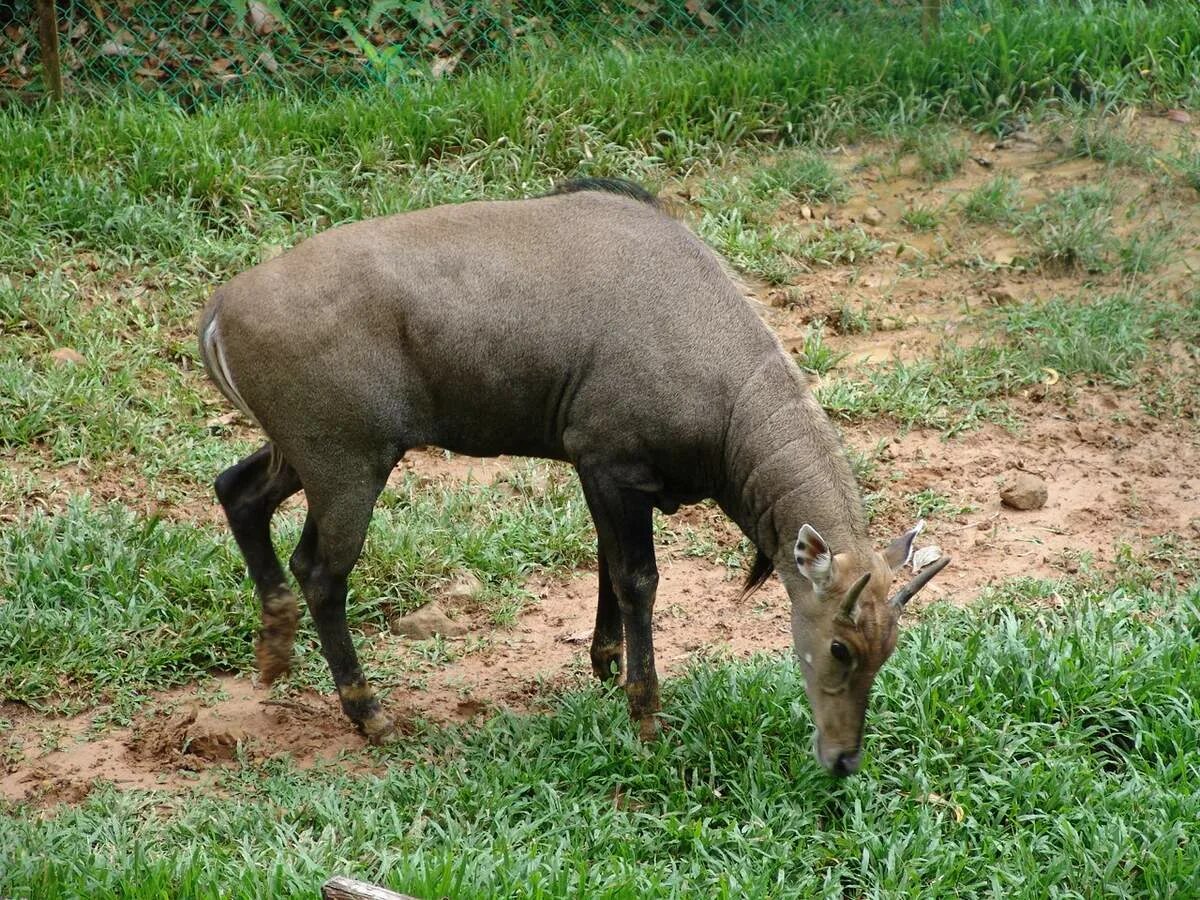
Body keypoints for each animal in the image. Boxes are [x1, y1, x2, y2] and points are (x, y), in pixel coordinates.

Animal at [199, 176, 945, 777]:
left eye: (889, 648)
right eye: (841, 647)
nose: (843, 760)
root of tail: (221, 311)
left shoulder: (608, 480)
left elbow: (607, 566)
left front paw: (605, 665)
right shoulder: (610, 464)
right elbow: (637, 579)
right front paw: (645, 715)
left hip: (306, 457)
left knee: (237, 492)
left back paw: (275, 653)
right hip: (350, 466)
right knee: (321, 572)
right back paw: (369, 713)